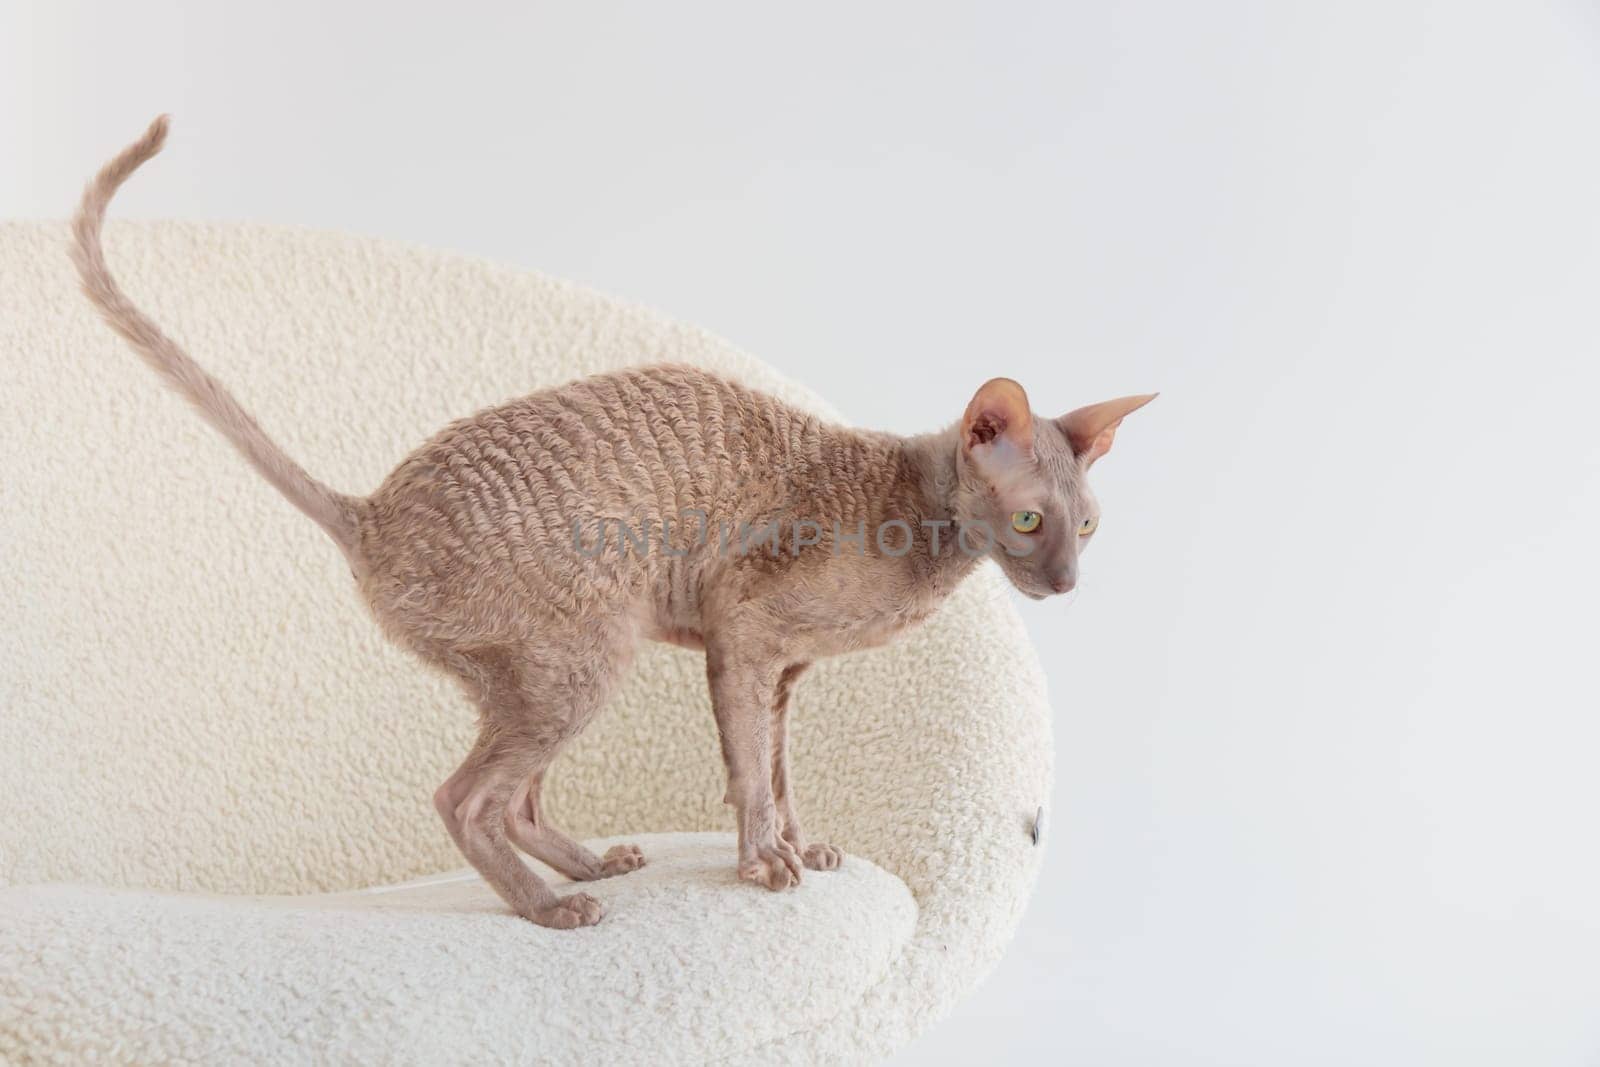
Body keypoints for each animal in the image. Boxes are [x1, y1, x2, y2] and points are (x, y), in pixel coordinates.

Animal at [72, 116, 1152, 927]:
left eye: (1088, 527)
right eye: (1028, 519)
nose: (1065, 581)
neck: (914, 528)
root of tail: (372, 511)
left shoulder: (782, 673)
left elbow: (781, 770)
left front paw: (800, 845)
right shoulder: (745, 633)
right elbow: (750, 772)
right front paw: (763, 862)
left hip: (531, 668)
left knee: (515, 796)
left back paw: (583, 864)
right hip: (584, 652)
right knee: (465, 797)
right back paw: (549, 907)